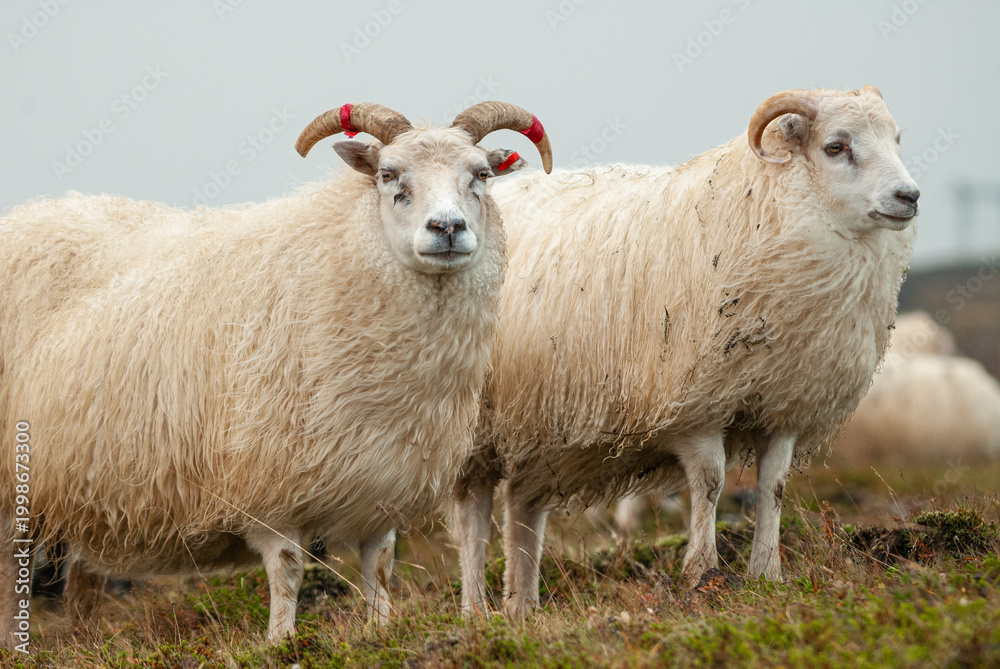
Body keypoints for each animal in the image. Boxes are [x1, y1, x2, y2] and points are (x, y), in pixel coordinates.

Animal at [0, 100, 553, 645]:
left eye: (481, 174)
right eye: (388, 175)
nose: (447, 229)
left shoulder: (381, 485)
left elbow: (379, 568)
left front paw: (381, 629)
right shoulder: (270, 482)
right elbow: (287, 570)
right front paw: (281, 641)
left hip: (85, 490)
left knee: (82, 577)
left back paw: (83, 640)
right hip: (14, 487)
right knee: (11, 571)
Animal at [451, 86, 918, 616]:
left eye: (895, 139)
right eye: (836, 146)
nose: (909, 197)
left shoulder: (783, 405)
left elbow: (774, 486)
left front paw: (767, 573)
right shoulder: (697, 405)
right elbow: (710, 482)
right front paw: (702, 572)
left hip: (539, 426)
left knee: (523, 507)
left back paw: (522, 606)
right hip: (474, 423)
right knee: (473, 513)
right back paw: (476, 609)